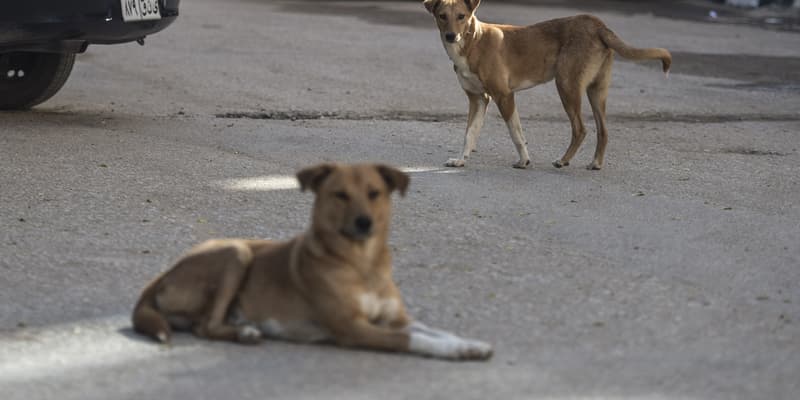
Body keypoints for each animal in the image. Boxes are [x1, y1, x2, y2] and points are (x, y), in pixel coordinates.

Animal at [132, 162, 494, 360]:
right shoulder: (352, 329)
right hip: (237, 252)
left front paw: (469, 346)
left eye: (374, 193)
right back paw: (245, 333)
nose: (364, 222)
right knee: (205, 326)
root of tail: (162, 275)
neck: (362, 264)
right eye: (340, 194)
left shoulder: (395, 320)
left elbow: (435, 332)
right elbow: (415, 340)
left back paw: (244, 329)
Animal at [422, 0, 672, 170]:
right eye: (442, 16)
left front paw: (524, 161)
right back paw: (595, 163)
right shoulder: (478, 99)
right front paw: (460, 160)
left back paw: (563, 160)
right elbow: (470, 133)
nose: (451, 36)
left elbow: (516, 132)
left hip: (566, 85)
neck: (474, 41)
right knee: (603, 130)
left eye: (461, 16)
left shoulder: (504, 96)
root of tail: (597, 23)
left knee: (580, 129)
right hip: (596, 91)